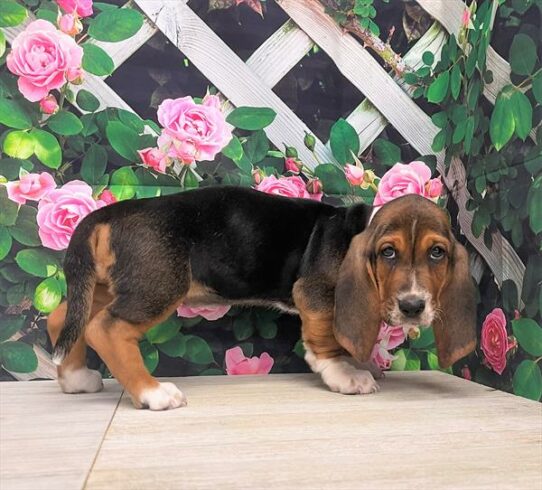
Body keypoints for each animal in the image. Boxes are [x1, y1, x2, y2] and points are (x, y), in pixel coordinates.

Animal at [49, 186, 478, 408]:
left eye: (437, 253)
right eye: (388, 252)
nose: (413, 306)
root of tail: (110, 214)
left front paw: (360, 364)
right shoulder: (315, 294)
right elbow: (326, 340)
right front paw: (344, 375)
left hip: (108, 285)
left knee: (65, 318)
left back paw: (74, 379)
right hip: (156, 285)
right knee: (107, 329)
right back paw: (153, 394)